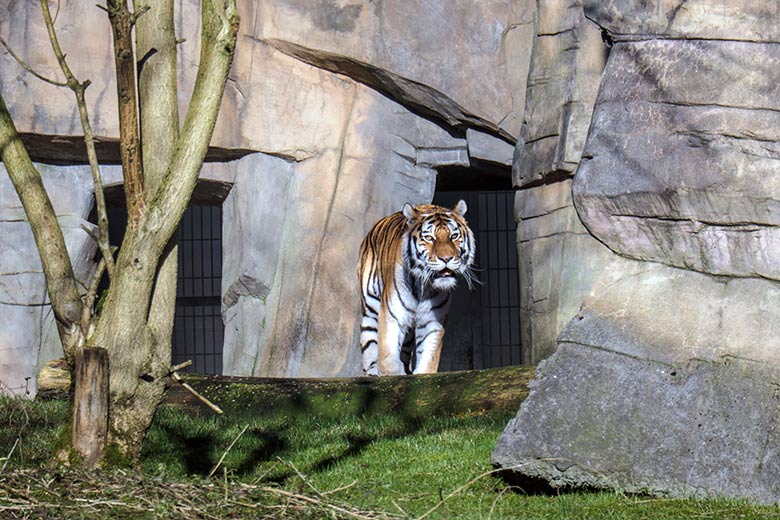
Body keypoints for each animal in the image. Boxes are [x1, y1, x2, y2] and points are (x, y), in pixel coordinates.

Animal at [354, 201, 476, 376]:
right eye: (429, 238)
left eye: (454, 236)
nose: (446, 258)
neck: (422, 287)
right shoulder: (392, 315)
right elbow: (388, 359)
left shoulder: (432, 321)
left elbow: (428, 360)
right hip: (370, 309)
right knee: (369, 341)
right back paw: (372, 372)